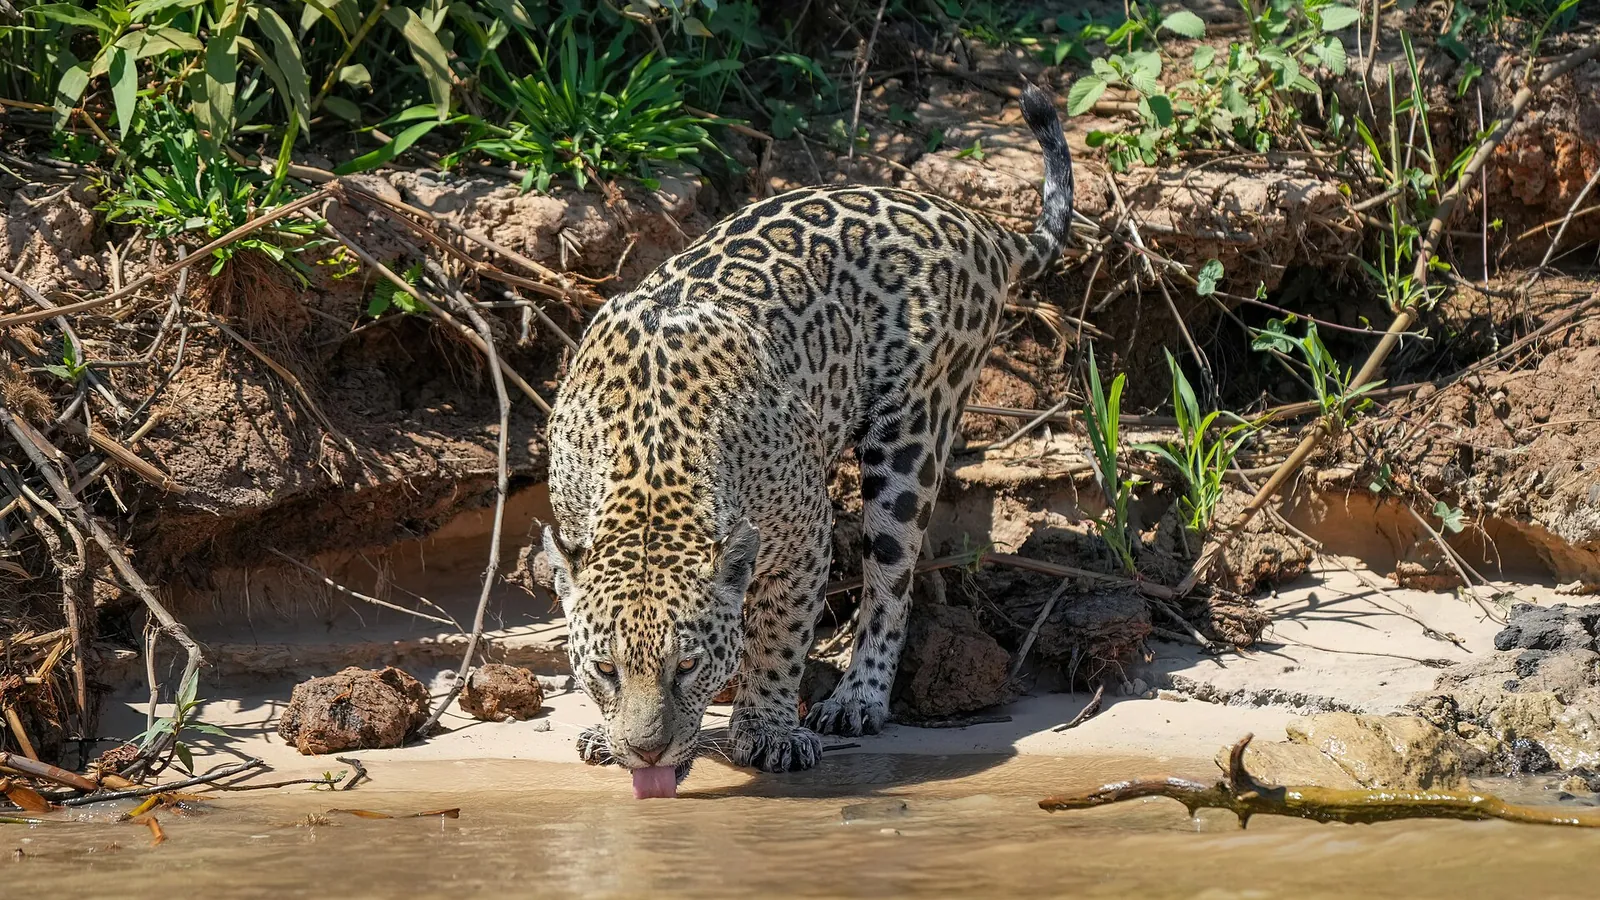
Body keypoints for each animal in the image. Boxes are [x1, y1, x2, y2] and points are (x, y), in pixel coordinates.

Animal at [542, 82, 1074, 786]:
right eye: (605, 670)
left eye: (686, 666)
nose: (647, 751)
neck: (652, 468)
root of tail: (970, 219)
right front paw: (609, 736)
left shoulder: (803, 540)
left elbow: (780, 636)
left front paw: (766, 729)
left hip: (911, 438)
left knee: (890, 584)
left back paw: (856, 699)